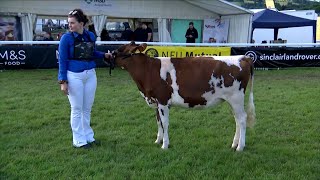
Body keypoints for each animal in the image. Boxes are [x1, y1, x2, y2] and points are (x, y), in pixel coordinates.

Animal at [110, 41, 255, 151]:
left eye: (121, 49)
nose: (108, 54)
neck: (148, 70)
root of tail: (243, 57)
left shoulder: (163, 101)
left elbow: (165, 123)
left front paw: (165, 145)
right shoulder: (156, 102)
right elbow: (158, 122)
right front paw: (158, 140)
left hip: (236, 98)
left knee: (242, 119)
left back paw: (240, 147)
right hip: (231, 101)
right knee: (237, 120)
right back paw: (234, 144)